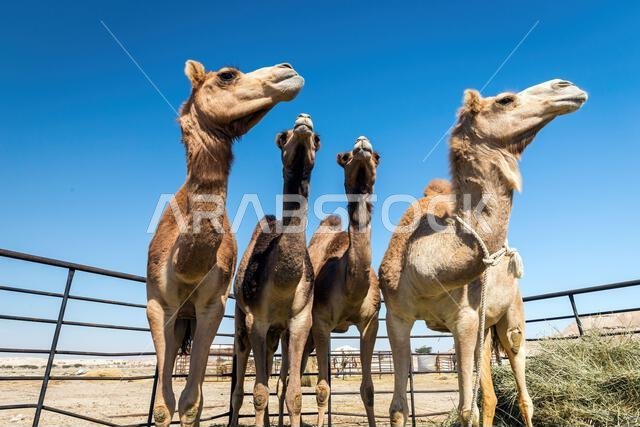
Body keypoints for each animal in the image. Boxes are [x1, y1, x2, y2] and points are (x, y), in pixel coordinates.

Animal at [146, 60, 303, 427]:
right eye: (227, 75)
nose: (288, 69)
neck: (184, 263)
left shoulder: (212, 305)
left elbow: (191, 401)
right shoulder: (157, 304)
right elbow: (163, 405)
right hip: (180, 319)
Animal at [231, 114, 320, 427]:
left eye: (317, 139)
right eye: (282, 137)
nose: (304, 120)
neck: (283, 282)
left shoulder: (300, 321)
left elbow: (293, 393)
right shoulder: (257, 320)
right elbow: (258, 392)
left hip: (277, 333)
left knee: (272, 375)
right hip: (241, 321)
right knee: (240, 384)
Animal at [298, 136, 381, 427]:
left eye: (377, 156)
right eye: (345, 157)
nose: (362, 143)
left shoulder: (370, 322)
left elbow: (368, 389)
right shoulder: (321, 322)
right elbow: (323, 389)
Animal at [379, 79, 587, 426]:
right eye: (505, 100)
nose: (567, 86)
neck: (427, 264)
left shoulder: (464, 318)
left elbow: (467, 409)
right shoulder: (397, 316)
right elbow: (397, 406)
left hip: (510, 316)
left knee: (521, 388)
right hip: (484, 329)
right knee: (489, 396)